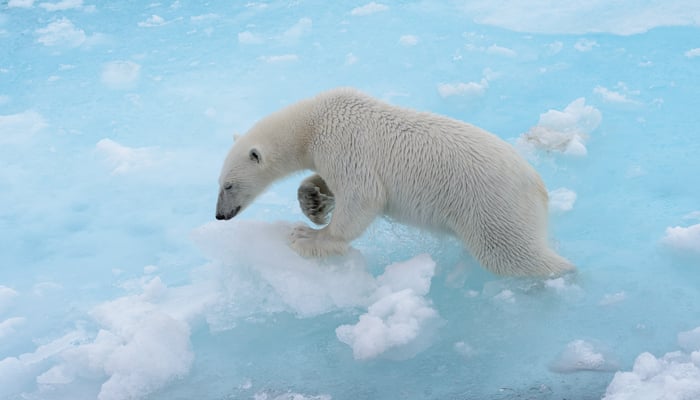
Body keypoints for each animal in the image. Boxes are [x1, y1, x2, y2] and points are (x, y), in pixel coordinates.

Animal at [216, 88, 575, 277]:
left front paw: (307, 236)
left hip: (493, 208)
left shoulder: (343, 141)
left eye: (228, 185)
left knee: (514, 256)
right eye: (218, 183)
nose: (220, 215)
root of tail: (538, 187)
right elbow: (330, 183)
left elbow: (362, 195)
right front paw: (314, 202)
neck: (313, 123)